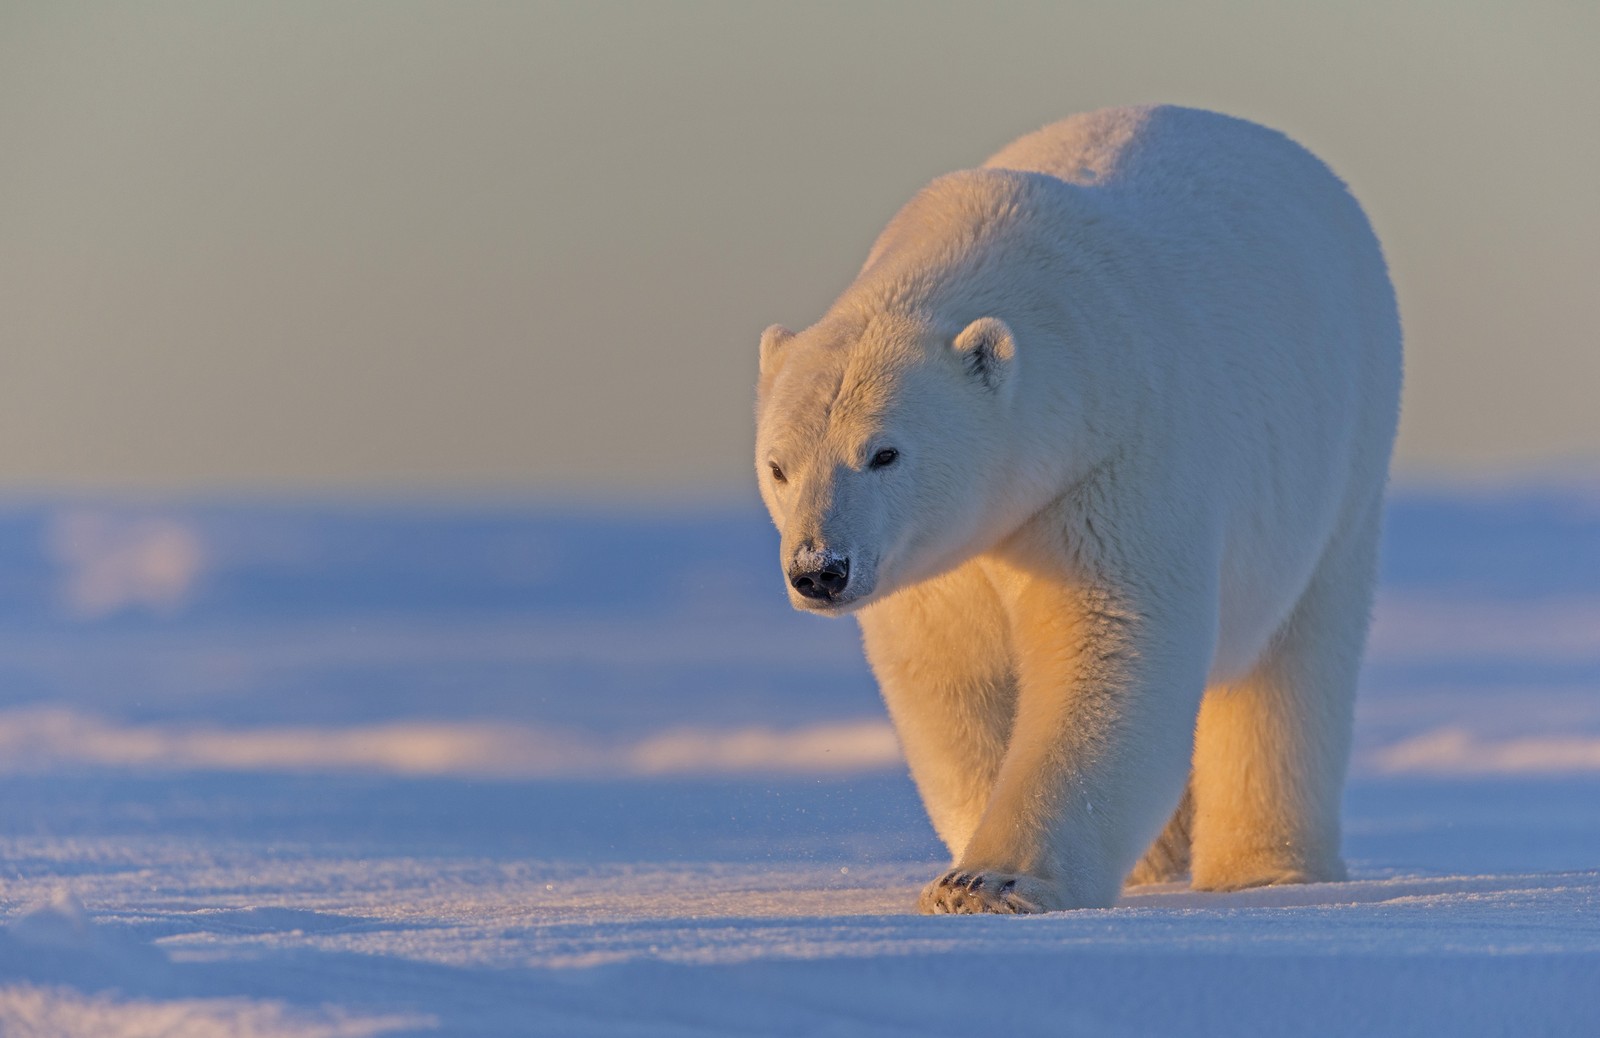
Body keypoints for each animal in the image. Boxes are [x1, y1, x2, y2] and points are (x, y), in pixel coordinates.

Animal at [753, 105, 1401, 914]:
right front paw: (964, 873)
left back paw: (1266, 869)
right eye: (779, 466)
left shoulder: (1112, 465)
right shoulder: (935, 558)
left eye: (883, 453)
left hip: (1343, 459)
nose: (819, 570)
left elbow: (1104, 647)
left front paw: (994, 881)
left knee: (1290, 670)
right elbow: (953, 679)